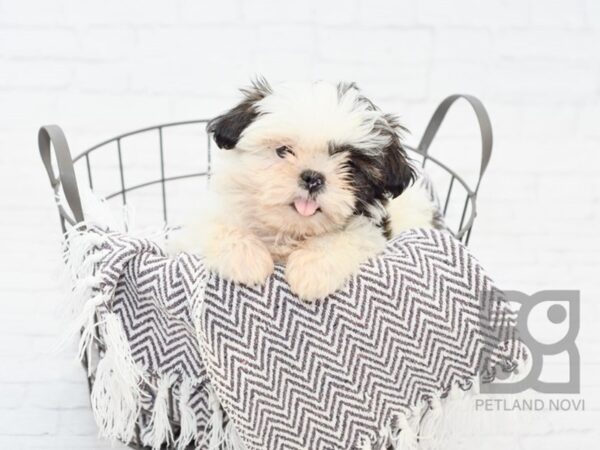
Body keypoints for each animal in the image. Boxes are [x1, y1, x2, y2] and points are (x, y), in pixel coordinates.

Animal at [176, 79, 434, 300]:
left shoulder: (371, 230)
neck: (289, 230)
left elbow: (347, 237)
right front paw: (245, 258)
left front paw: (313, 269)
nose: (313, 178)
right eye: (283, 150)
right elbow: (214, 224)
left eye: (350, 165)